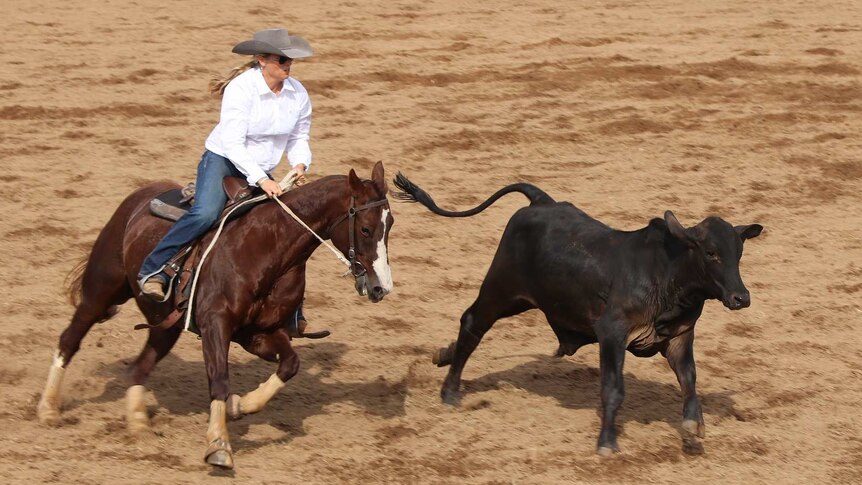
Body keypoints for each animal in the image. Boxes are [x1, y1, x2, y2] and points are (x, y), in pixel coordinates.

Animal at [37, 161, 394, 466]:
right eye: (365, 229)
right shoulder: (215, 325)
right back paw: (48, 409)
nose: (382, 288)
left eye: (389, 226)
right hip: (102, 290)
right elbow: (220, 380)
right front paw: (219, 445)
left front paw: (241, 405)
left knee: (140, 367)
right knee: (70, 339)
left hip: (165, 325)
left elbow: (290, 364)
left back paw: (138, 423)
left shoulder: (257, 333)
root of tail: (139, 196)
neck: (270, 247)